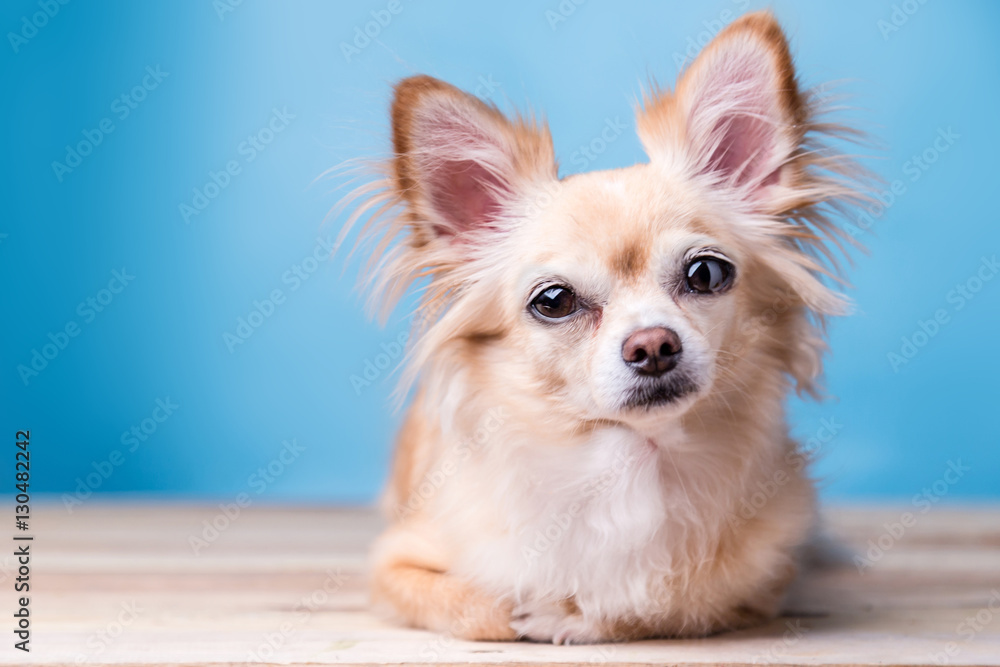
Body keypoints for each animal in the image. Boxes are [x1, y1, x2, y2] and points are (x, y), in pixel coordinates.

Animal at [340, 10, 864, 644]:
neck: (636, 462)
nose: (653, 344)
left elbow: (677, 604)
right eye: (554, 301)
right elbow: (486, 610)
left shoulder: (763, 580)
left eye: (707, 273)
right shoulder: (393, 563)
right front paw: (535, 610)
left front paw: (579, 614)